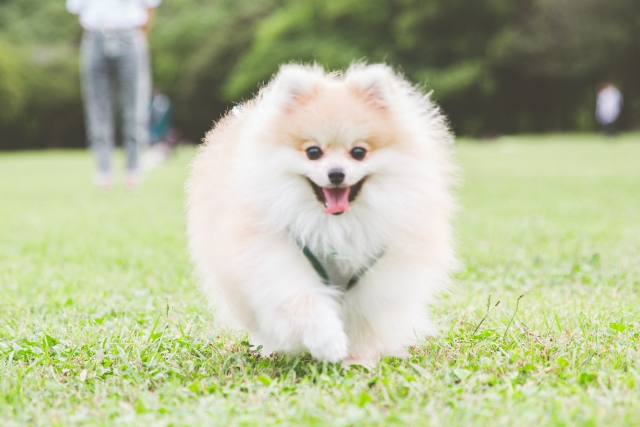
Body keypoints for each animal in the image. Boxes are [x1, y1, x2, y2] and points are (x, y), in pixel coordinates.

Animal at [185, 63, 456, 368]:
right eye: (313, 152)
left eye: (358, 152)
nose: (336, 173)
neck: (336, 225)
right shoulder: (276, 258)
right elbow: (302, 301)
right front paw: (328, 343)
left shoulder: (378, 278)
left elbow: (365, 322)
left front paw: (357, 361)